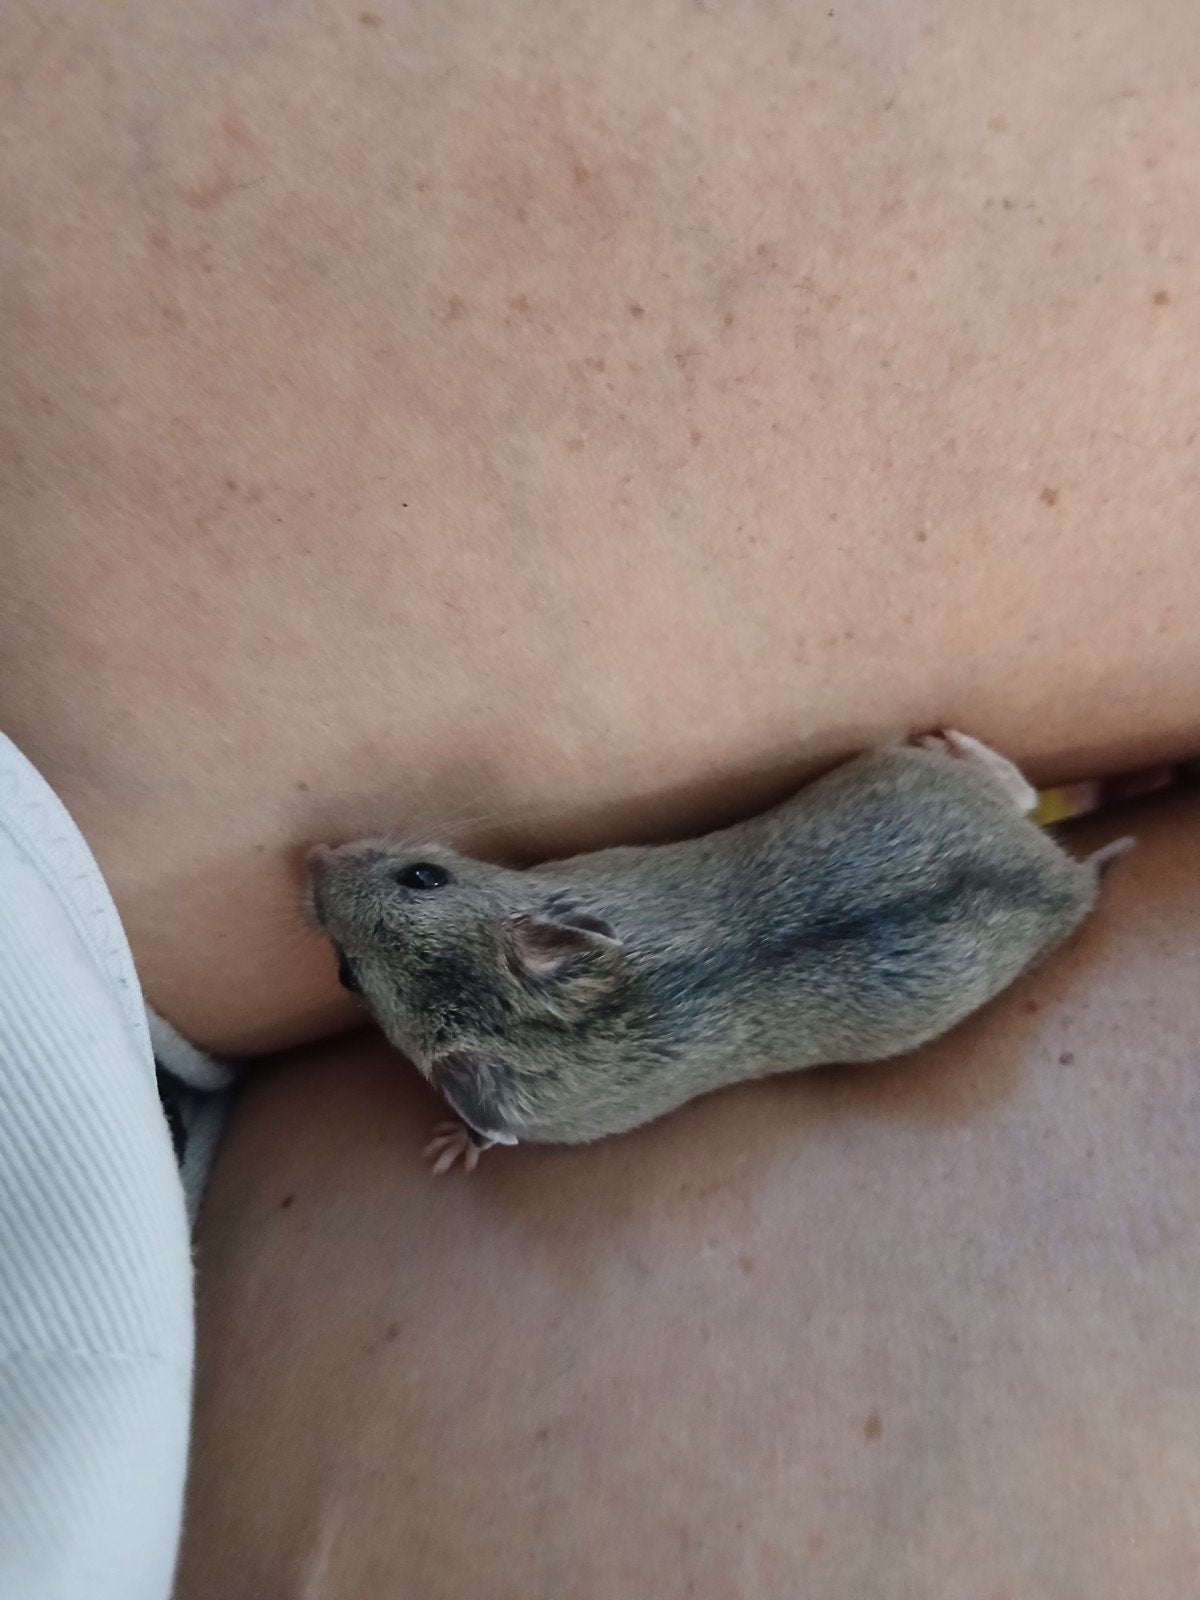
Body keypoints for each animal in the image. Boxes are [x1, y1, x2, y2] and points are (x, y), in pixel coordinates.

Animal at [306, 731, 1128, 1171]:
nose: (308, 856)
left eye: (423, 875)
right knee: (1021, 791)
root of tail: (1062, 879)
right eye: (347, 973)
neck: (534, 1019)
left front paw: (447, 1149)